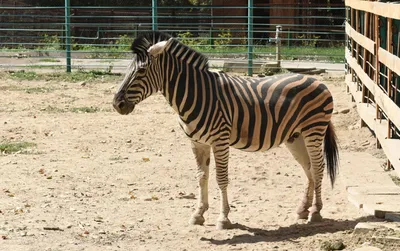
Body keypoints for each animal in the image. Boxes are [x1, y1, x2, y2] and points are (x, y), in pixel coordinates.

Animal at [112, 30, 338, 229]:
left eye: (141, 71)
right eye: (127, 69)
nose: (116, 104)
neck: (197, 94)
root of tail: (316, 80)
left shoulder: (220, 140)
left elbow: (221, 178)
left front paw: (223, 218)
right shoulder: (197, 142)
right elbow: (201, 177)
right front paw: (198, 214)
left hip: (313, 130)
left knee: (318, 167)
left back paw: (315, 212)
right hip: (295, 136)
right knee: (308, 168)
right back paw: (303, 209)